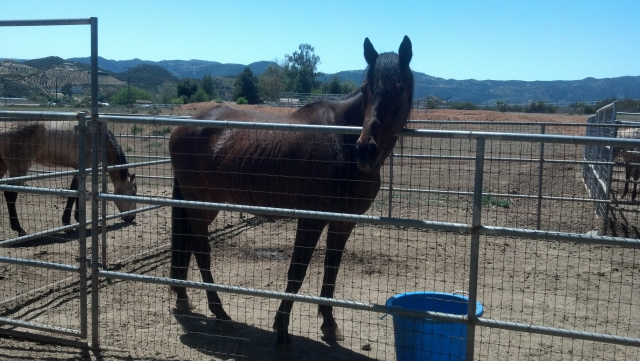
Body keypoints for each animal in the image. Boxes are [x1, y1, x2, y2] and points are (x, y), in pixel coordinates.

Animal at [0, 116, 136, 236]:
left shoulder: (79, 169)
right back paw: (19, 229)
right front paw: (67, 223)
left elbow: (77, 192)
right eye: (133, 193)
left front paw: (77, 218)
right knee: (10, 195)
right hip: (19, 169)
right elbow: (72, 193)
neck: (99, 138)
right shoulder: (84, 168)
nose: (132, 217)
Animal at [168, 35, 412, 348]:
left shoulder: (343, 223)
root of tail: (182, 127)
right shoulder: (311, 220)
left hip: (200, 205)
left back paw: (185, 299)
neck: (341, 143)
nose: (366, 150)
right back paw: (221, 315)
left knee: (187, 244)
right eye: (365, 88)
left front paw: (330, 325)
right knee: (201, 251)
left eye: (400, 88)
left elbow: (331, 272)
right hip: (202, 205)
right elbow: (297, 271)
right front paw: (282, 329)